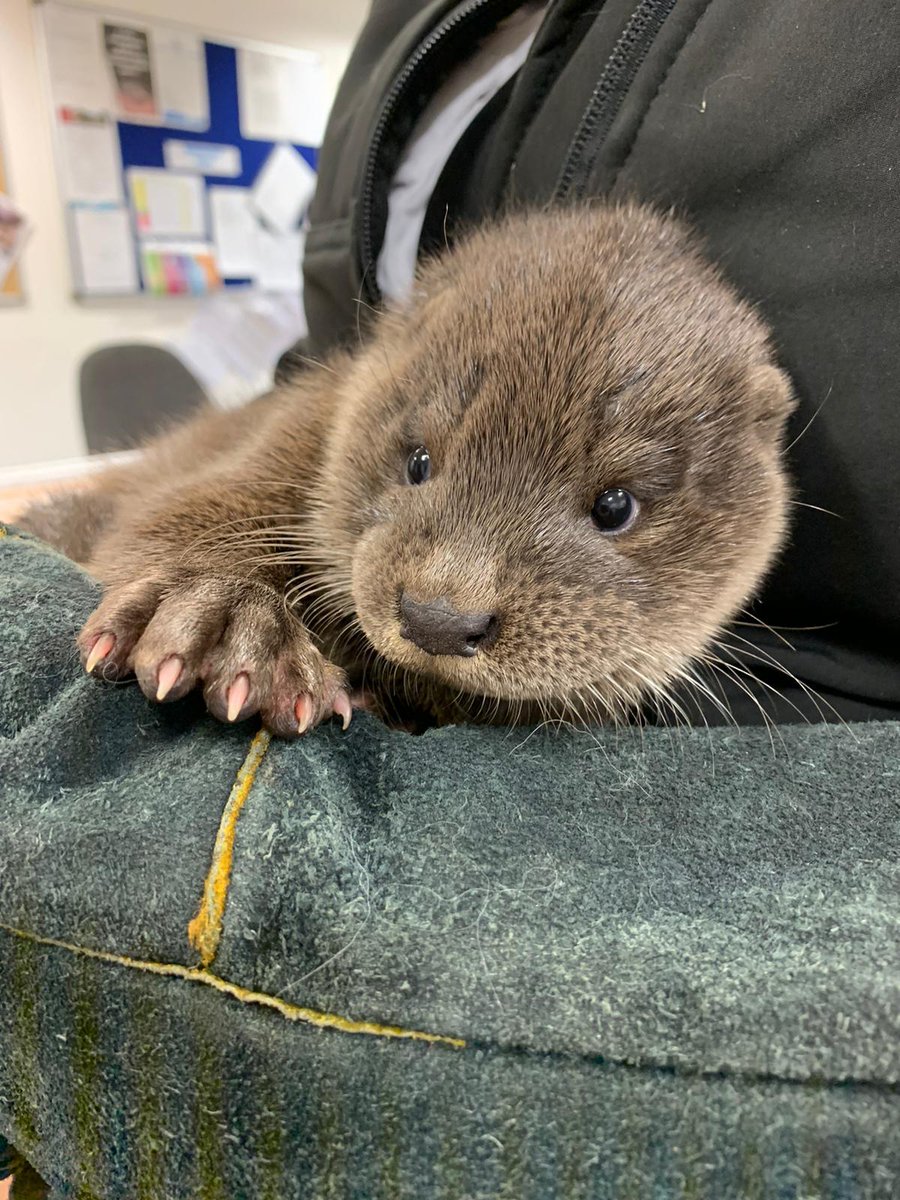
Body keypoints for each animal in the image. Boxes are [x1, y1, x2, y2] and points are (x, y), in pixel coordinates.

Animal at [22, 203, 796, 735]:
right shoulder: (293, 430)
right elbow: (181, 513)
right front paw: (224, 621)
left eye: (614, 506)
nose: (440, 620)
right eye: (418, 460)